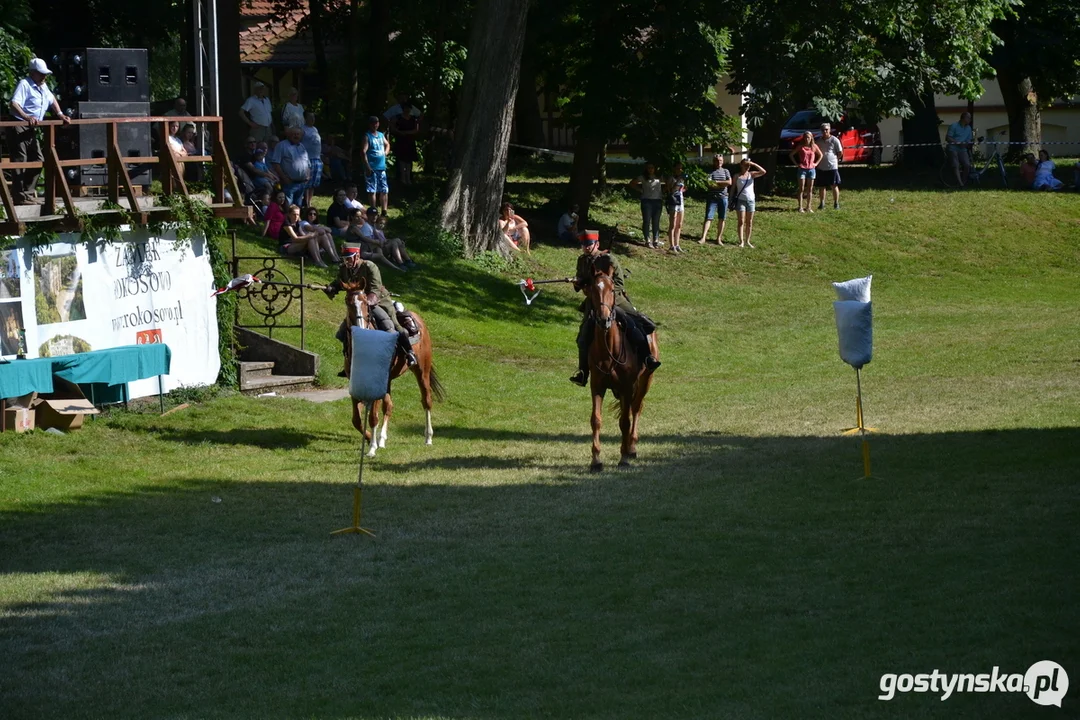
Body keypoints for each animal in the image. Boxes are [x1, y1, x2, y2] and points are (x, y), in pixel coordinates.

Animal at [341, 280, 442, 455]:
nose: (360, 326)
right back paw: (381, 439)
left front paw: (371, 448)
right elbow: (357, 419)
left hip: (422, 371)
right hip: (388, 380)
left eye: (365, 302)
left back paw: (428, 438)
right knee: (388, 406)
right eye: (348, 301)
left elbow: (373, 416)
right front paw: (371, 439)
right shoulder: (355, 382)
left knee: (426, 401)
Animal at [583, 259, 656, 472]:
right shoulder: (597, 386)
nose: (603, 319)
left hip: (645, 381)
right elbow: (596, 420)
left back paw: (631, 448)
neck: (610, 349)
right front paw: (596, 460)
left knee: (636, 409)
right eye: (593, 289)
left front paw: (623, 457)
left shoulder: (626, 387)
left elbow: (625, 421)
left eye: (611, 289)